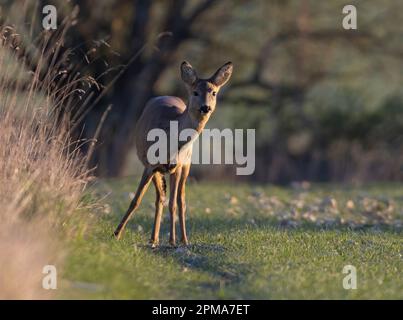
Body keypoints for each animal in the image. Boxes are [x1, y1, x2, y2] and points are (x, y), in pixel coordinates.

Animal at [113, 62, 234, 248]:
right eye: (195, 92)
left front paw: (172, 240)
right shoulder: (149, 165)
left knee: (179, 200)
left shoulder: (176, 167)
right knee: (160, 197)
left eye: (214, 92)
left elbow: (173, 203)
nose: (205, 107)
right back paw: (154, 238)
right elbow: (136, 200)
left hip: (186, 165)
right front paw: (116, 234)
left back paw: (183, 239)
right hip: (155, 168)